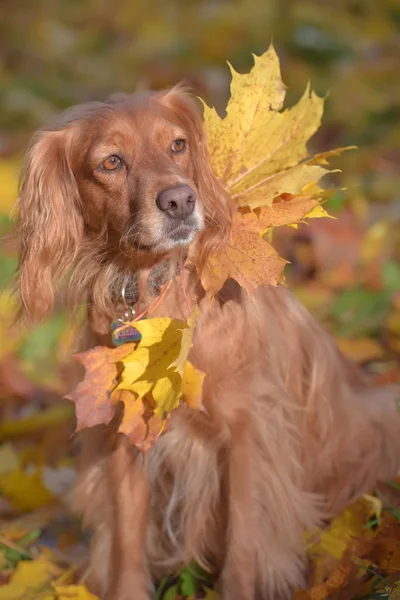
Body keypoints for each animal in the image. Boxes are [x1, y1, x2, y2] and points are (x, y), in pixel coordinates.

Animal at [14, 86, 400, 596]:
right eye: (111, 162)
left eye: (177, 144)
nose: (179, 200)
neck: (157, 294)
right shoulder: (126, 434)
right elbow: (127, 541)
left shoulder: (249, 427)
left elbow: (244, 538)